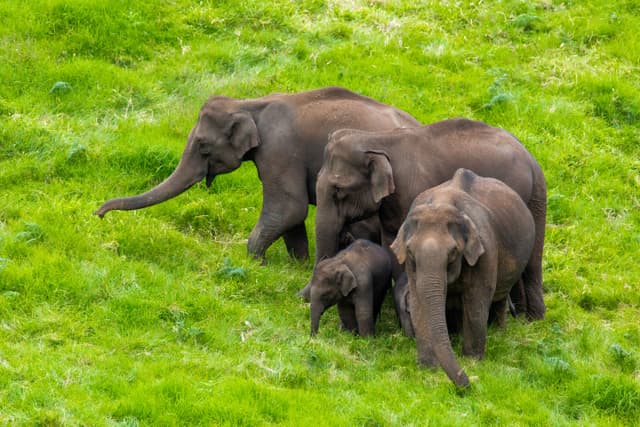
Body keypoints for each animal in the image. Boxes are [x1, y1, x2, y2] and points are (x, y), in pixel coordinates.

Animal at [94, 86, 419, 260]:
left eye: (202, 145)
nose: (98, 214)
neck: (249, 104)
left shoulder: (280, 151)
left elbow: (289, 207)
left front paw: (255, 263)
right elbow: (291, 217)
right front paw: (297, 264)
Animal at [306, 118, 547, 320]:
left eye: (339, 190)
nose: (304, 298)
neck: (379, 139)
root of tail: (532, 160)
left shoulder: (413, 194)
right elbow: (393, 246)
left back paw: (529, 318)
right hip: (534, 202)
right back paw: (525, 315)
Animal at [390, 168, 536, 387]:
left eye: (453, 252)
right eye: (410, 251)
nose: (469, 383)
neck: (441, 203)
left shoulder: (486, 250)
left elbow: (476, 302)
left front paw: (473, 361)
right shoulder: (410, 265)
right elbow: (418, 304)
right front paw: (427, 367)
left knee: (499, 297)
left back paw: (500, 333)